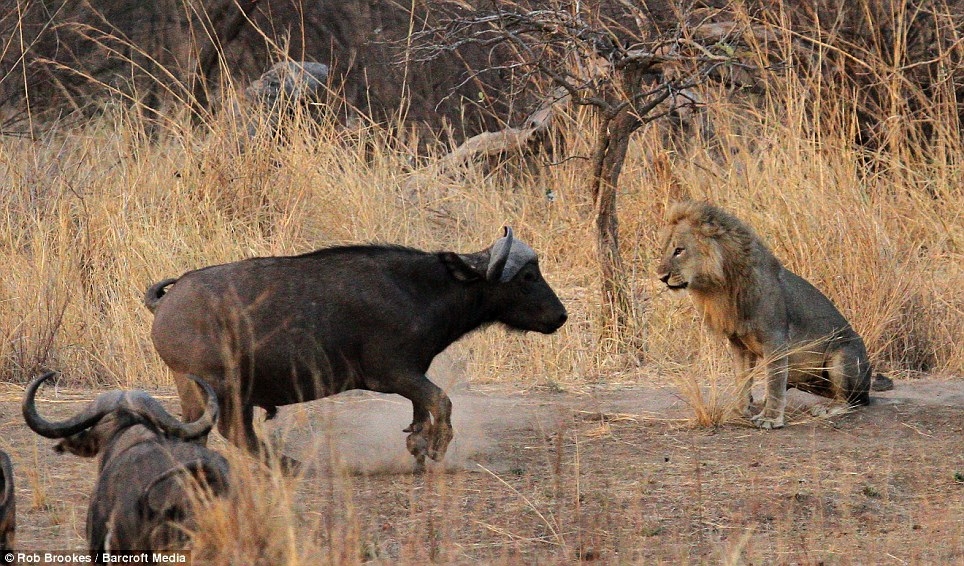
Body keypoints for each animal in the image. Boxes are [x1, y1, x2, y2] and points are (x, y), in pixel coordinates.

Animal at [143, 225, 564, 470]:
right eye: (528, 276)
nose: (560, 315)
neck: (422, 289)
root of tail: (168, 301)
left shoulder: (412, 375)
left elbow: (422, 410)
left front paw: (418, 443)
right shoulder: (395, 374)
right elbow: (441, 402)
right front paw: (435, 448)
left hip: (203, 390)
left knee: (204, 431)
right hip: (225, 388)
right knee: (233, 432)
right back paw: (294, 465)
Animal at [656, 202, 888, 428]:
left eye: (679, 250)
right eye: (665, 250)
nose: (661, 277)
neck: (722, 286)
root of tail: (867, 388)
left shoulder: (775, 338)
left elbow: (774, 380)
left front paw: (770, 419)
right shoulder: (739, 343)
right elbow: (742, 379)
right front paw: (739, 411)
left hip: (844, 352)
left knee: (851, 401)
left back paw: (826, 408)